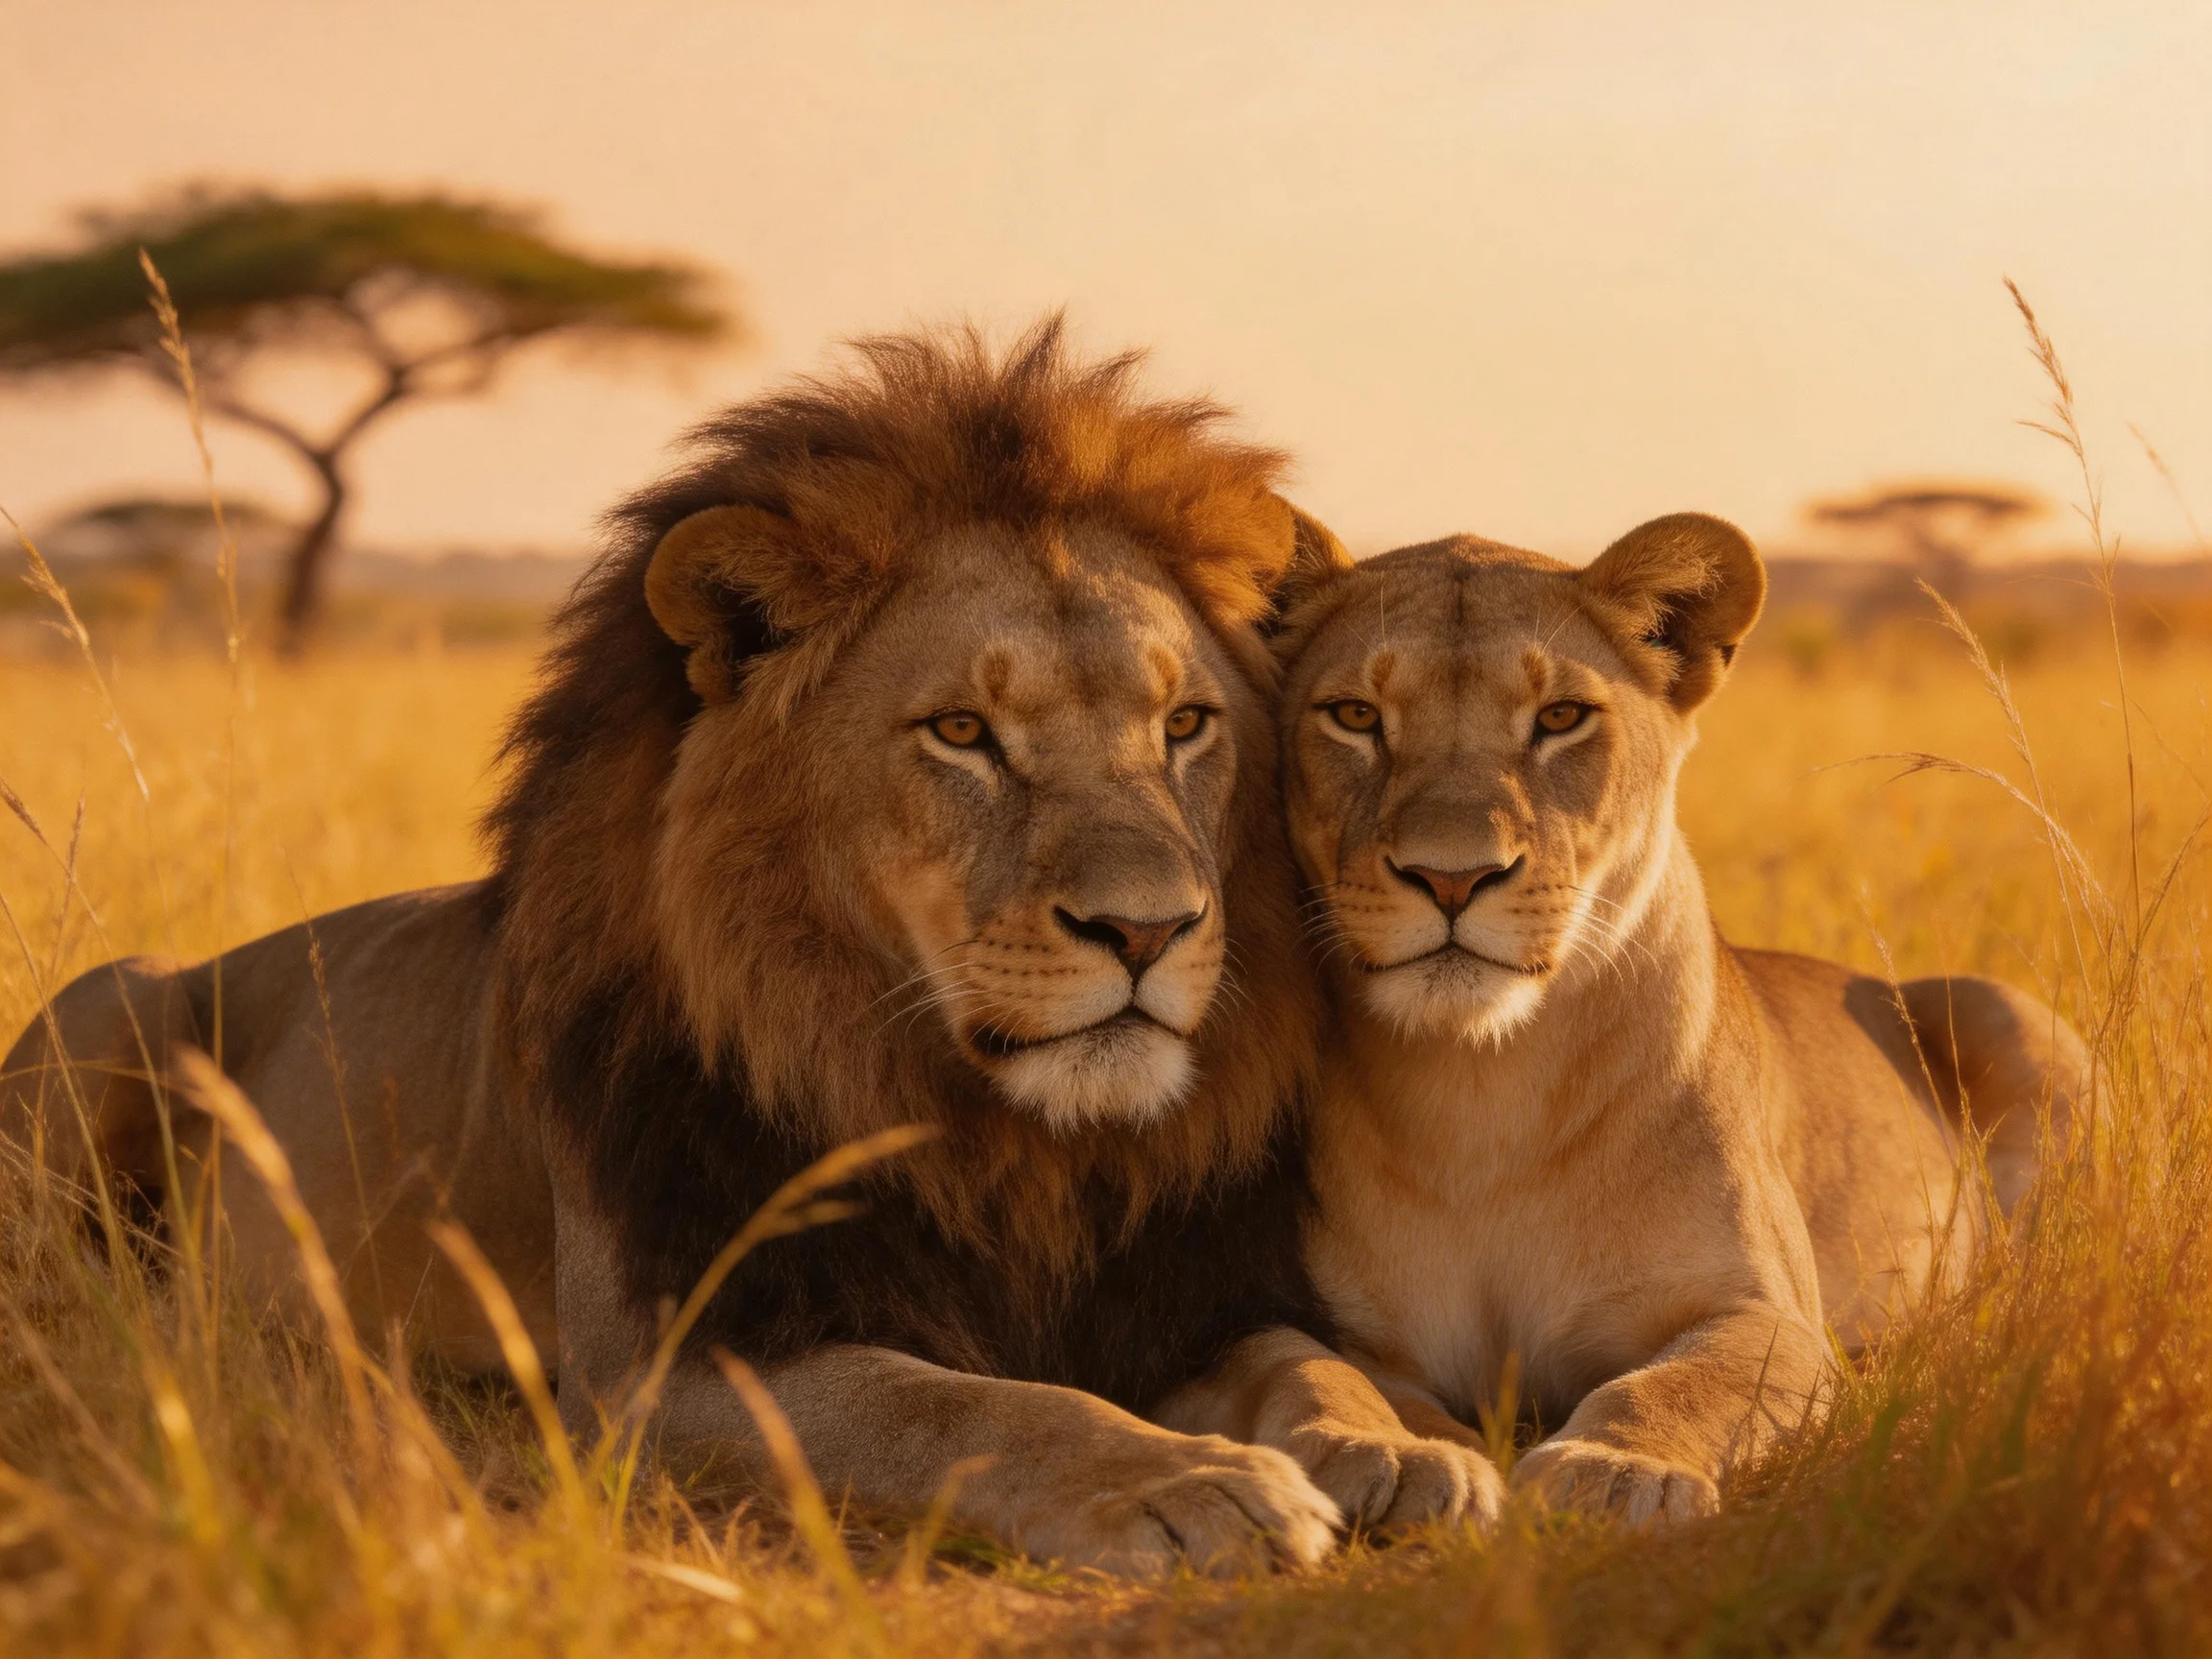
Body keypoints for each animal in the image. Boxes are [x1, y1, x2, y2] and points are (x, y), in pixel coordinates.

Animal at [2, 320, 1494, 1574]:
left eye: (1184, 726)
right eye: (962, 733)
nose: (1149, 928)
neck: (1003, 1140)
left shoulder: (1178, 1292)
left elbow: (1307, 1363)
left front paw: (1401, 1447)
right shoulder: (654, 1371)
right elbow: (970, 1408)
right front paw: (1185, 1483)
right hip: (106, 1008)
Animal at [1265, 512, 2087, 1526]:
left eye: (1560, 718)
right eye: (1354, 717)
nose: (1451, 877)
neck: (1481, 1090)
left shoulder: (1769, 1315)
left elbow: (1676, 1383)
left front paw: (1617, 1470)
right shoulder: (1297, 1318)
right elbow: (1323, 1374)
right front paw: (1394, 1452)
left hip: (2006, 1013)